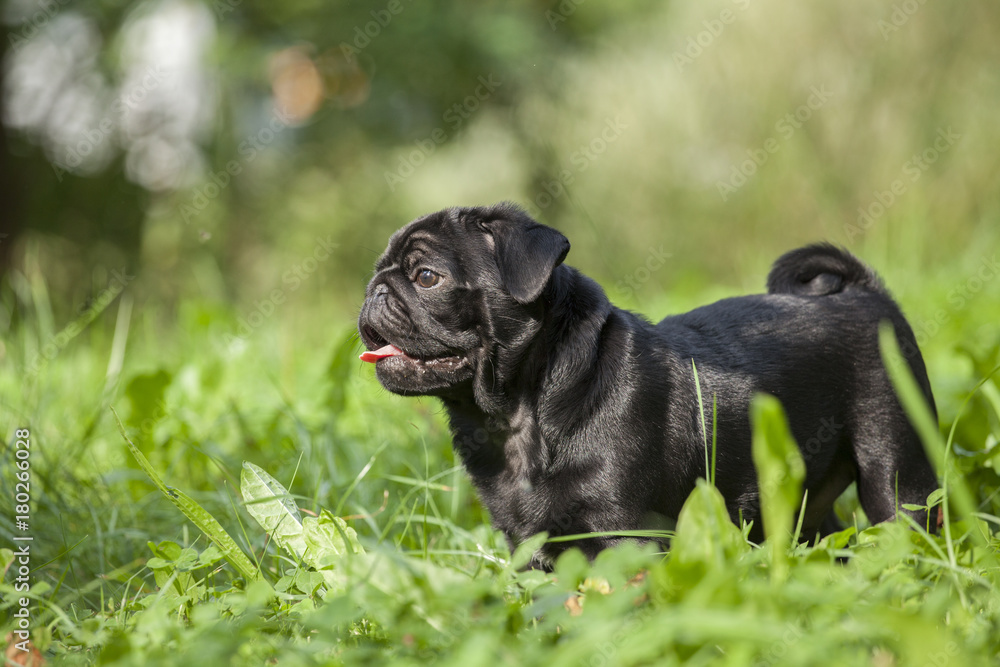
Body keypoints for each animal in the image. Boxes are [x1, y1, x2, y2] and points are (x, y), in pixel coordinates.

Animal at [360, 204, 936, 568]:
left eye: (427, 276)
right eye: (378, 271)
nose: (375, 290)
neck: (519, 415)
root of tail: (863, 292)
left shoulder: (622, 534)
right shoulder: (525, 542)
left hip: (897, 472)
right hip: (799, 502)